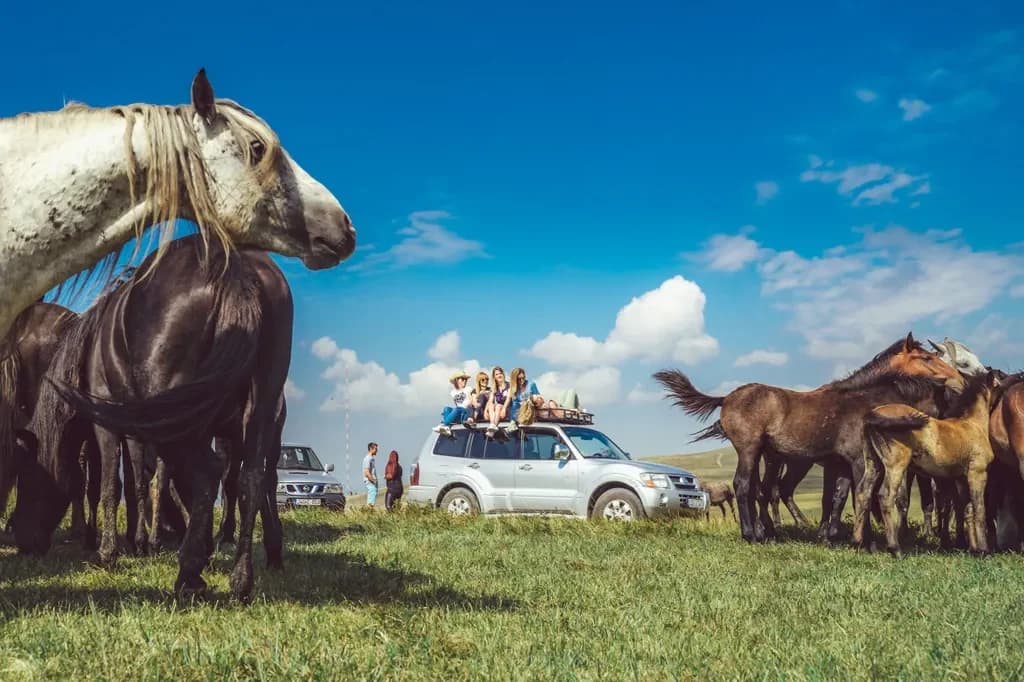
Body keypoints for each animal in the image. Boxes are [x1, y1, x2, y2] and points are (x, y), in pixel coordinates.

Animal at [14, 235, 291, 602]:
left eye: (28, 478)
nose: (21, 542)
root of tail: (233, 265)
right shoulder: (136, 428)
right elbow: (136, 482)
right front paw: (140, 540)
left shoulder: (108, 425)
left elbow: (110, 485)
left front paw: (110, 551)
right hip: (257, 406)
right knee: (253, 479)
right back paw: (242, 574)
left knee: (209, 474)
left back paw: (190, 573)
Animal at [653, 333, 966, 545]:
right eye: (926, 357)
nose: (960, 380)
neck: (860, 400)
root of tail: (726, 398)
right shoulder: (855, 460)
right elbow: (856, 496)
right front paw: (859, 539)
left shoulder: (839, 463)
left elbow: (837, 497)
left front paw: (830, 536)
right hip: (751, 450)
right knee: (744, 486)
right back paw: (752, 534)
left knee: (759, 490)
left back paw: (767, 532)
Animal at [860, 370, 1001, 557]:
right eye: (999, 383)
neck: (972, 425)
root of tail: (873, 414)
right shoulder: (977, 473)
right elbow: (979, 510)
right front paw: (984, 550)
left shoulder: (961, 478)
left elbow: (968, 510)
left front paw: (973, 549)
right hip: (896, 465)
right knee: (885, 496)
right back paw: (895, 549)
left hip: (873, 464)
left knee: (864, 491)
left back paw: (861, 542)